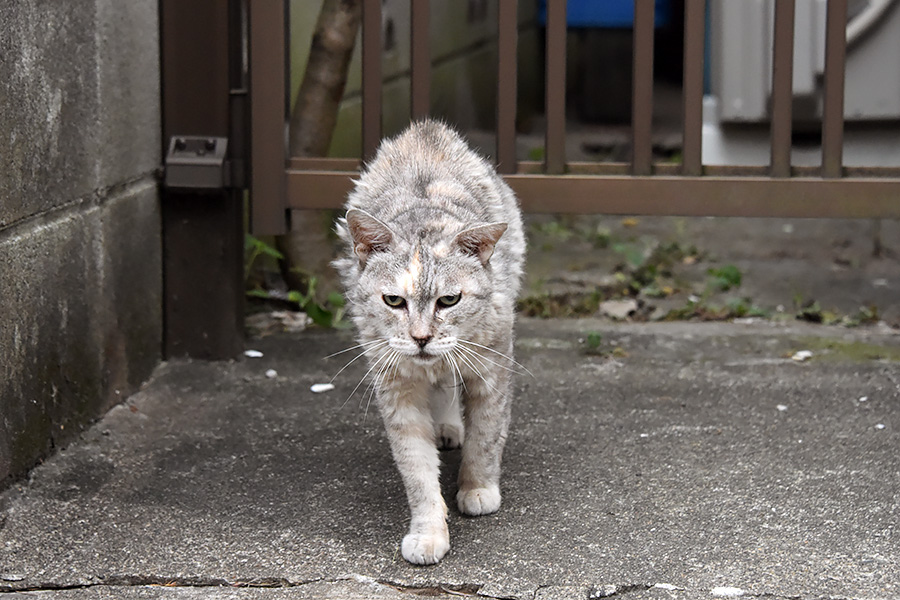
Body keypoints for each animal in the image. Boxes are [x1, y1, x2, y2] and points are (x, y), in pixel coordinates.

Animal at [334, 119, 524, 564]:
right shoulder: (397, 392)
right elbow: (417, 472)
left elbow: (485, 438)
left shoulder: (492, 372)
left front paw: (477, 488)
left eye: (449, 300)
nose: (421, 338)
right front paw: (428, 533)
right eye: (393, 300)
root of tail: (426, 129)